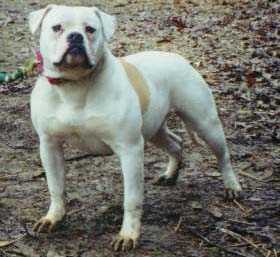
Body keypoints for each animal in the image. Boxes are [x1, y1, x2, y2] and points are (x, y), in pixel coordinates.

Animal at [29, 5, 241, 250]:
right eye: (57, 28)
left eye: (90, 29)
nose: (75, 37)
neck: (74, 84)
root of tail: (177, 57)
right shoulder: (49, 146)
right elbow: (55, 186)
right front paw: (54, 217)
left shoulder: (130, 149)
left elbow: (131, 199)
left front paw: (128, 235)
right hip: (154, 130)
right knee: (175, 143)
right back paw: (170, 174)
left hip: (205, 123)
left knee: (223, 155)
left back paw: (231, 186)